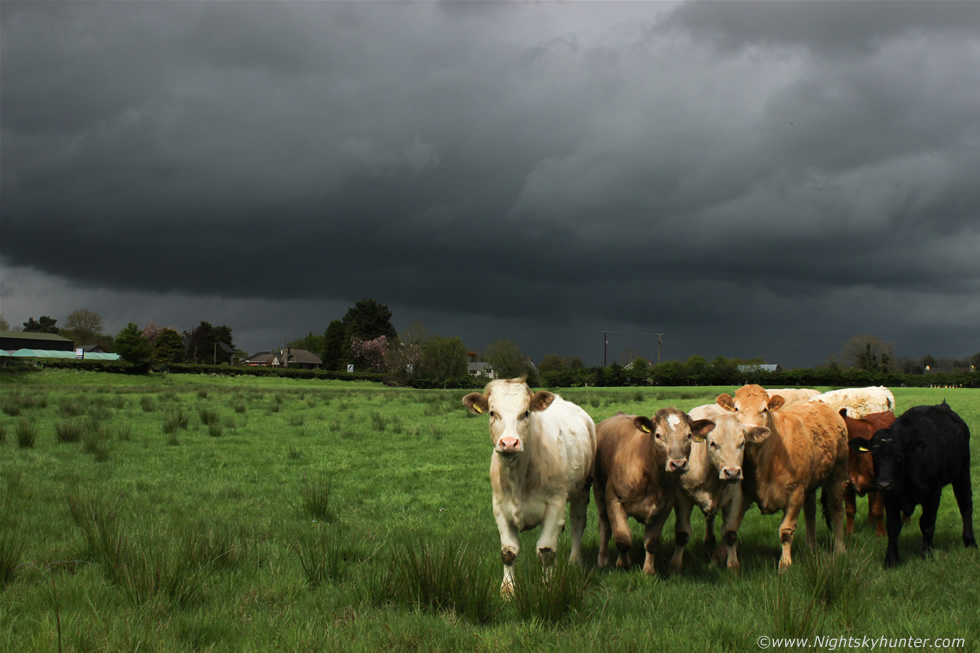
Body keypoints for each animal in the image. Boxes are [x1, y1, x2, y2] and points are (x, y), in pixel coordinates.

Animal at [462, 376, 592, 596]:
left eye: (525, 413)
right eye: (492, 412)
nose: (508, 443)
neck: (518, 477)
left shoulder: (555, 504)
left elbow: (546, 551)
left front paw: (548, 587)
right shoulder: (499, 507)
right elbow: (508, 551)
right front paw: (507, 589)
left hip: (582, 490)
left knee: (577, 524)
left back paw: (575, 561)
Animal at [592, 410, 716, 572]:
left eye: (689, 435)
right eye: (658, 435)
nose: (678, 464)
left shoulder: (664, 507)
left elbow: (651, 542)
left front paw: (648, 570)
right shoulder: (614, 500)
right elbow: (623, 538)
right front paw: (623, 564)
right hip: (598, 491)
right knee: (604, 526)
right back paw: (602, 559)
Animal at [712, 384, 848, 568]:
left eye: (764, 409)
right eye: (736, 409)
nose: (749, 431)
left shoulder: (795, 493)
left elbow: (786, 530)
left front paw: (785, 564)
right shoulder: (741, 494)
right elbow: (730, 528)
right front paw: (729, 563)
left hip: (838, 474)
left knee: (836, 510)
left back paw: (840, 549)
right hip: (810, 485)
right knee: (810, 512)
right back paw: (812, 547)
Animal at [844, 408, 896, 536]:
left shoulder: (882, 484)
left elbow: (878, 510)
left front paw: (881, 534)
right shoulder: (846, 485)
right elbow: (850, 510)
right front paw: (849, 533)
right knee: (870, 498)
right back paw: (870, 522)